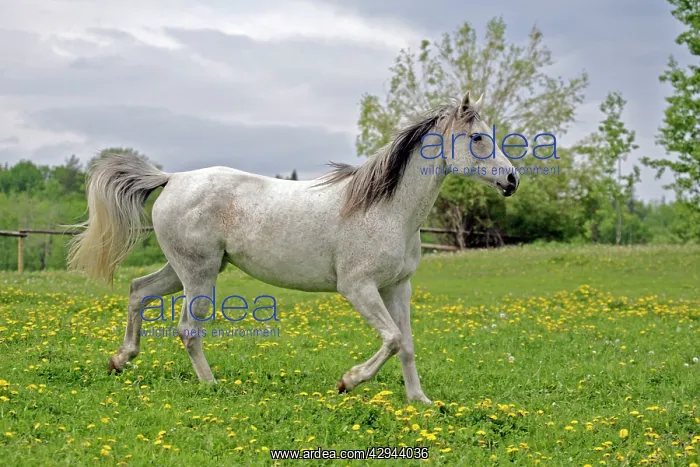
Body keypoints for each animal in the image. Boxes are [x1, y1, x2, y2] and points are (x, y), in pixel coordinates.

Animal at [67, 91, 519, 404]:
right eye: (478, 137)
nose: (512, 180)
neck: (387, 209)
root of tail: (172, 178)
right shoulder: (358, 288)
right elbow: (391, 339)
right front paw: (348, 381)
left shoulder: (398, 287)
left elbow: (406, 344)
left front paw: (419, 400)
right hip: (199, 274)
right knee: (187, 329)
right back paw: (213, 386)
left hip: (184, 270)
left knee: (138, 290)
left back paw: (120, 360)